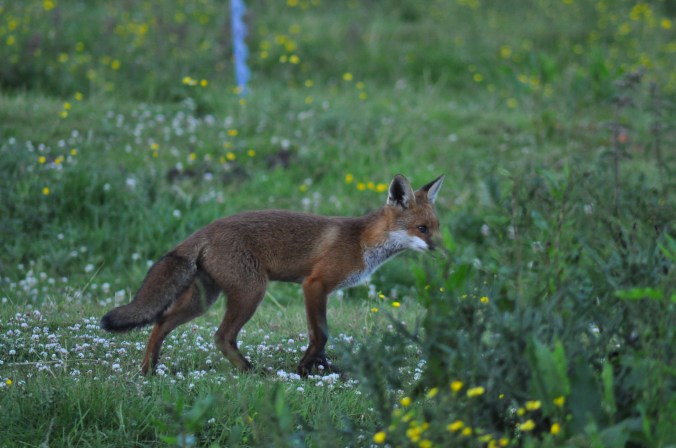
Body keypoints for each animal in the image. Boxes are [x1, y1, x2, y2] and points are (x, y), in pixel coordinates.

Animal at [100, 174, 444, 376]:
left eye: (436, 227)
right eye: (421, 229)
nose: (441, 250)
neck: (362, 242)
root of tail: (204, 230)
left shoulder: (318, 291)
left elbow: (320, 337)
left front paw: (322, 368)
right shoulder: (315, 285)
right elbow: (321, 334)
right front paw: (305, 368)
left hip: (203, 299)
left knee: (160, 322)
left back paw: (148, 369)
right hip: (252, 292)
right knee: (221, 336)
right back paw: (250, 371)